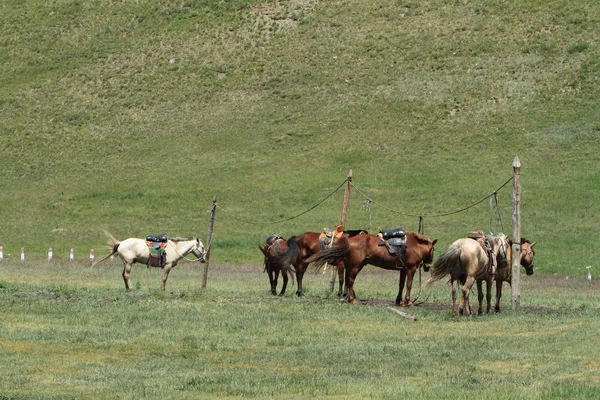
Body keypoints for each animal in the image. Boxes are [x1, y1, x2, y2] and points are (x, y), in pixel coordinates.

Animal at [308, 231, 438, 306]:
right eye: (433, 250)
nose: (428, 266)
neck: (414, 245)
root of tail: (349, 240)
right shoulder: (411, 269)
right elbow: (409, 285)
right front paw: (408, 301)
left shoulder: (403, 269)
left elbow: (401, 285)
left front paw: (399, 301)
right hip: (356, 266)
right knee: (350, 281)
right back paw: (352, 299)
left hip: (351, 266)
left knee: (348, 281)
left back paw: (350, 298)